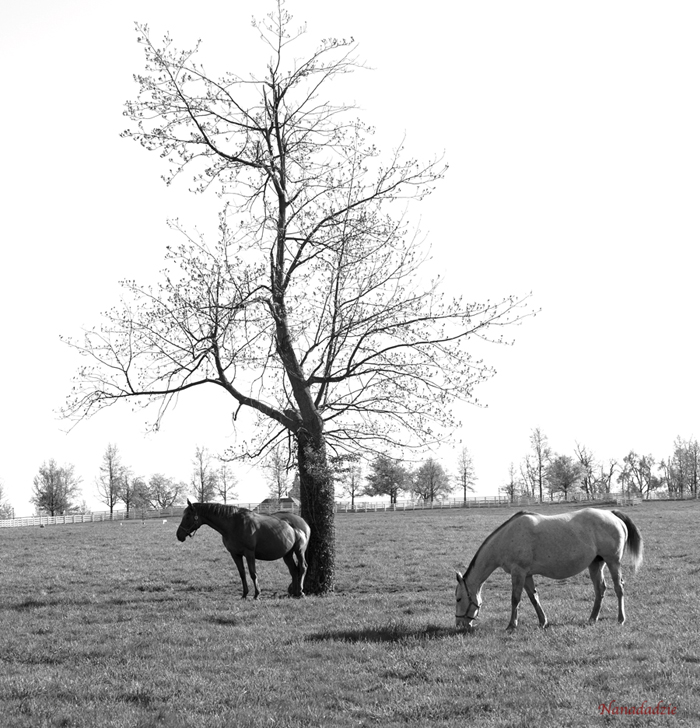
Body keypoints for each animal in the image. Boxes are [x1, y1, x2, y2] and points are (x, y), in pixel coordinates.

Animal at [176, 500, 310, 599]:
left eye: (187, 516)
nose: (179, 535)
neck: (233, 524)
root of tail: (304, 523)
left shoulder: (249, 553)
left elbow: (253, 573)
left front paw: (257, 594)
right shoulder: (235, 554)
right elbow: (242, 574)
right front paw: (245, 594)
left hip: (299, 551)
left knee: (303, 567)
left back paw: (301, 592)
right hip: (287, 554)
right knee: (294, 570)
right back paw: (295, 592)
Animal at [455, 508, 643, 631]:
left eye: (458, 599)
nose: (459, 625)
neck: (506, 538)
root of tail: (612, 514)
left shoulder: (518, 573)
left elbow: (515, 599)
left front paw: (511, 625)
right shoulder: (527, 575)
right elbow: (534, 598)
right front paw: (542, 621)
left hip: (613, 562)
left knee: (619, 588)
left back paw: (621, 619)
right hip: (595, 564)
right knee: (600, 589)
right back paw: (592, 619)